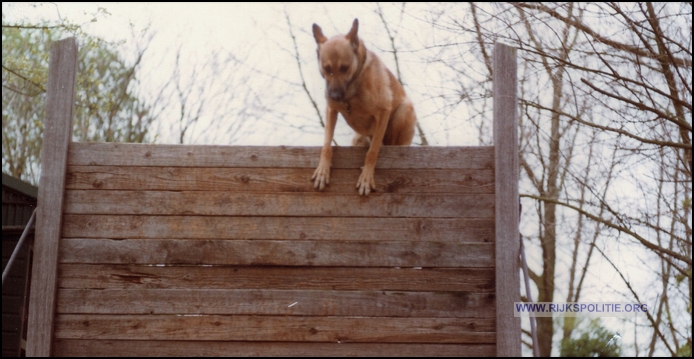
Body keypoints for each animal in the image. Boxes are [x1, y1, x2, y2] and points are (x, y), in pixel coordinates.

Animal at [312, 18, 418, 197]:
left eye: (344, 68)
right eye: (326, 69)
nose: (334, 97)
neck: (352, 86)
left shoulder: (383, 112)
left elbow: (372, 151)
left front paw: (366, 177)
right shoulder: (331, 111)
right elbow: (326, 145)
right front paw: (323, 170)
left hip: (404, 110)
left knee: (388, 145)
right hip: (358, 138)